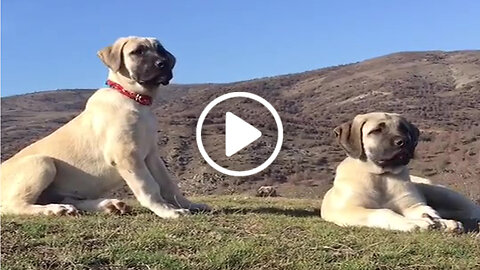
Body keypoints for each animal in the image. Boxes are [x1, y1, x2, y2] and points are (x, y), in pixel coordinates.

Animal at [0, 36, 209, 217]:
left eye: (161, 50)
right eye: (137, 51)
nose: (163, 63)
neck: (133, 99)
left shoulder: (151, 155)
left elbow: (168, 184)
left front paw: (189, 204)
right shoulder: (126, 155)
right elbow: (149, 187)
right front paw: (166, 211)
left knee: (68, 199)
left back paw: (107, 205)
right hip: (42, 163)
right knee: (14, 205)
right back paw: (55, 209)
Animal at [320, 112, 480, 232]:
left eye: (404, 129)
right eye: (376, 130)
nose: (403, 142)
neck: (382, 176)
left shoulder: (412, 205)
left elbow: (428, 212)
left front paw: (442, 223)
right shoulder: (349, 209)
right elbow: (383, 212)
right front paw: (413, 223)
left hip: (442, 193)